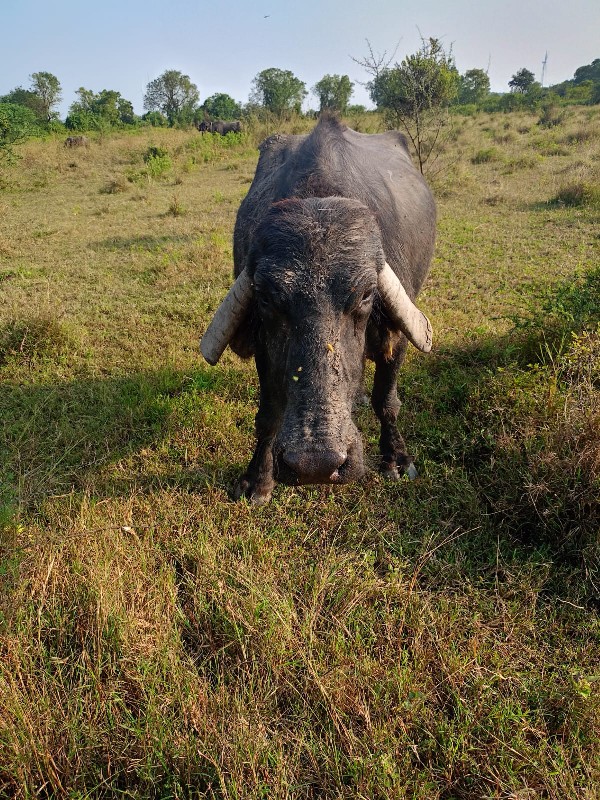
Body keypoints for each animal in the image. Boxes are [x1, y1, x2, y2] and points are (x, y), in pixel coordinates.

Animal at [202, 115, 436, 504]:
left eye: (366, 295)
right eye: (266, 298)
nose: (316, 464)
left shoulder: (398, 336)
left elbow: (387, 400)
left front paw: (397, 459)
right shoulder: (264, 345)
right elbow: (269, 413)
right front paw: (257, 479)